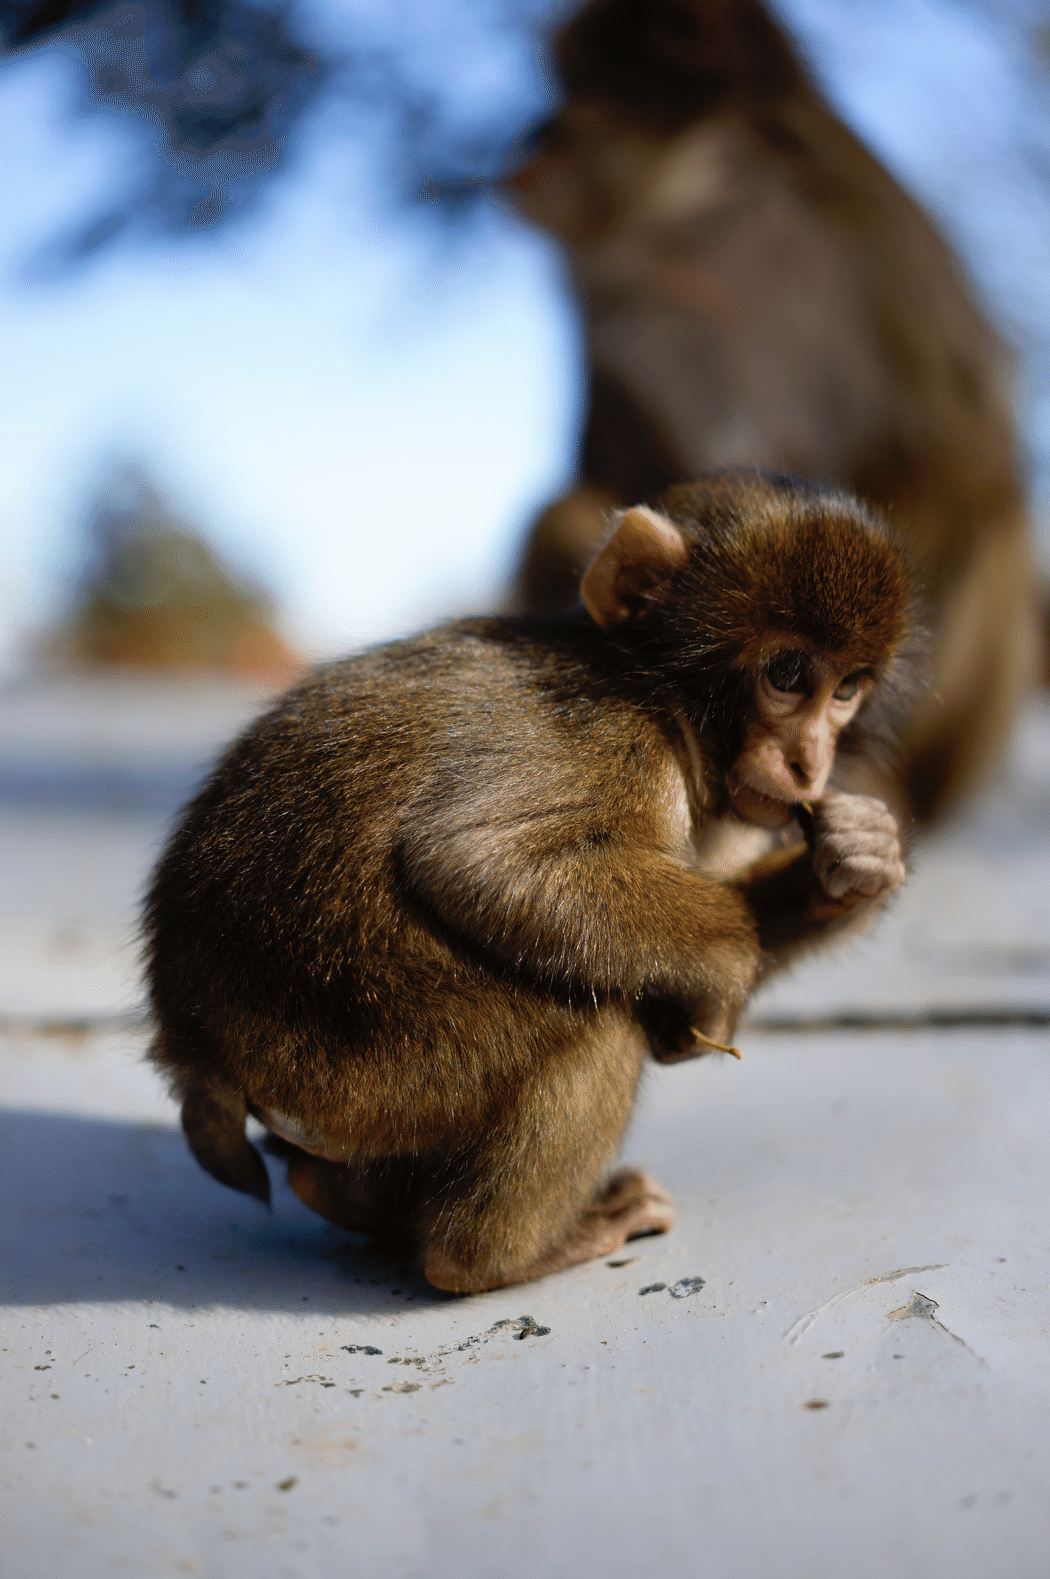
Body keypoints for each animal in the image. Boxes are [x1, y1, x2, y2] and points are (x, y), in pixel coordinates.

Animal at [143, 473, 915, 1288]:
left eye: (847, 691)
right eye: (788, 675)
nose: (810, 762)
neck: (656, 691)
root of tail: (197, 1046)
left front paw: (857, 860)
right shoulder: (617, 738)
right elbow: (483, 861)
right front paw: (725, 981)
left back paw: (349, 1202)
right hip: (374, 1074)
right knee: (596, 1017)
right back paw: (494, 1257)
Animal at [508, 0, 1042, 821]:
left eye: (583, 93)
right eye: (560, 89)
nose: (534, 139)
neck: (706, 221)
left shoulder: (865, 236)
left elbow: (955, 458)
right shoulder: (607, 284)